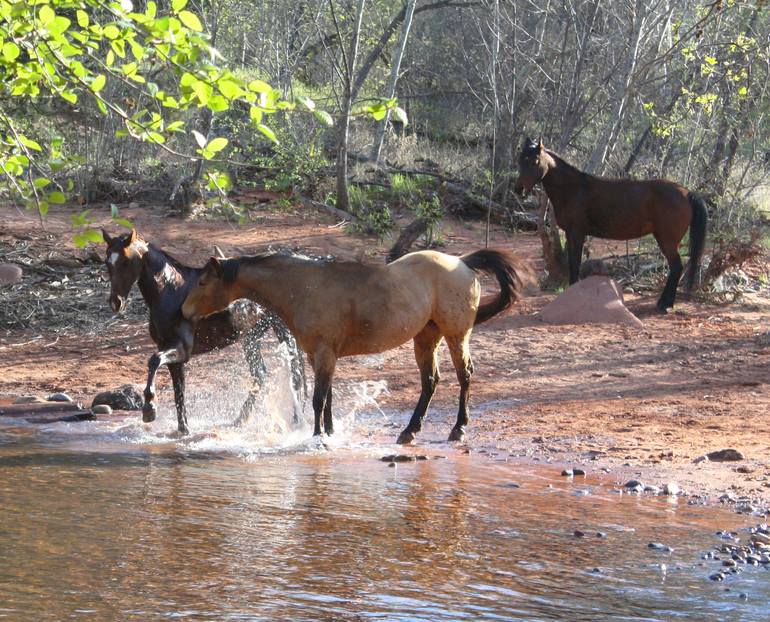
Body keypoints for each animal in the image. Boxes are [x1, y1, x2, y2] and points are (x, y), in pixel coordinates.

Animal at [102, 228, 306, 434]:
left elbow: (154, 361)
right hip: (250, 337)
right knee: (261, 373)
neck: (170, 292)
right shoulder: (172, 353)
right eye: (107, 262)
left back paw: (296, 420)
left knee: (294, 373)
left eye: (126, 261)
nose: (116, 302)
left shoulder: (181, 349)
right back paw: (240, 420)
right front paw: (183, 429)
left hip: (281, 331)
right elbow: (179, 392)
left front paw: (149, 409)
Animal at [181, 249, 532, 444]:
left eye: (203, 282)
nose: (183, 310)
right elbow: (327, 399)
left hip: (456, 335)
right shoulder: (321, 356)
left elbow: (318, 400)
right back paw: (409, 431)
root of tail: (461, 262)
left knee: (464, 376)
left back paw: (458, 429)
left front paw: (318, 437)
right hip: (425, 338)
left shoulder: (324, 354)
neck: (304, 286)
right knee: (430, 381)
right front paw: (329, 432)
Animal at [512, 136, 704, 312]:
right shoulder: (570, 233)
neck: (573, 188)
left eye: (534, 161)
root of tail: (687, 193)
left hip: (667, 241)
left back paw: (665, 305)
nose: (518, 189)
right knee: (676, 268)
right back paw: (664, 303)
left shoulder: (577, 232)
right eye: (520, 160)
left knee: (676, 267)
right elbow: (573, 263)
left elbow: (575, 263)